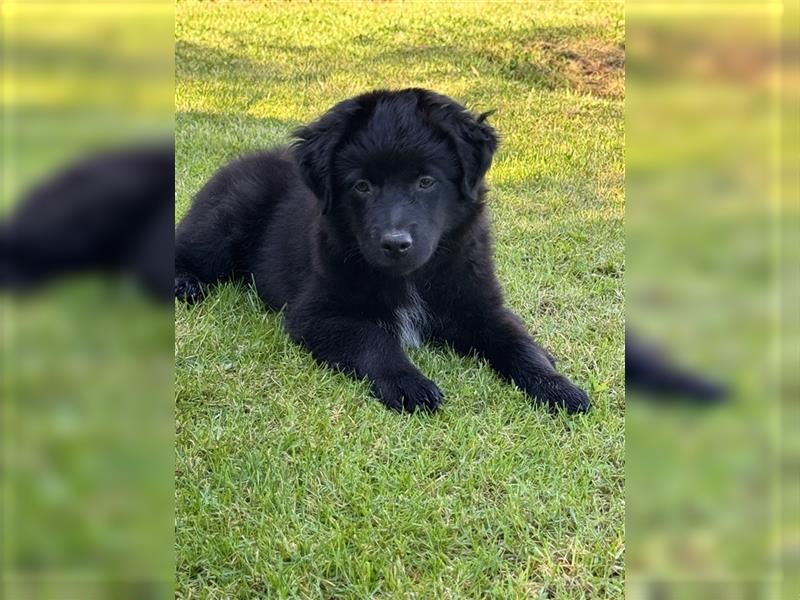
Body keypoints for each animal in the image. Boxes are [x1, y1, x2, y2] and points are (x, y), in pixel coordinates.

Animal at [173, 89, 588, 414]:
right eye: (362, 186)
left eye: (426, 181)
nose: (395, 243)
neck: (412, 277)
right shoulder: (318, 313)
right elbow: (374, 339)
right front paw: (408, 383)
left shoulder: (481, 305)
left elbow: (519, 343)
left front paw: (557, 386)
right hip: (226, 220)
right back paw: (184, 284)